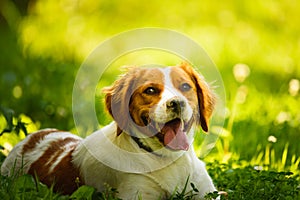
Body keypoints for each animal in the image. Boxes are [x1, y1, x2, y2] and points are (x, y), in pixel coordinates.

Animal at [1, 62, 219, 198]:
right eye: (150, 90)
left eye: (185, 87)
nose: (176, 103)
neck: (166, 158)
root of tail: (29, 138)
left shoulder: (206, 193)